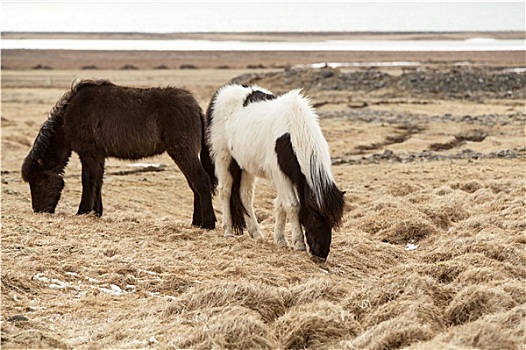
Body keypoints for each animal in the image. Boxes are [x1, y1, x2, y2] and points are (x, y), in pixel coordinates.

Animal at [21, 78, 218, 230]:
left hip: (182, 152)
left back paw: (207, 223)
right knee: (194, 185)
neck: (69, 114)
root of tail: (195, 108)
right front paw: (96, 212)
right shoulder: (98, 155)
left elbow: (88, 180)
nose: (39, 211)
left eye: (38, 181)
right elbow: (98, 181)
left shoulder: (88, 154)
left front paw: (83, 211)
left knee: (201, 181)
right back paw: (196, 222)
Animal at [206, 84, 346, 260]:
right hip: (223, 157)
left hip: (244, 166)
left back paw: (256, 233)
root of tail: (222, 93)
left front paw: (281, 240)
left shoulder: (288, 177)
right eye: (315, 217)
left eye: (332, 222)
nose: (321, 254)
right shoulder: (280, 175)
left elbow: (280, 205)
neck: (293, 129)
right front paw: (298, 244)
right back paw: (228, 231)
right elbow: (293, 206)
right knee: (225, 191)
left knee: (245, 196)